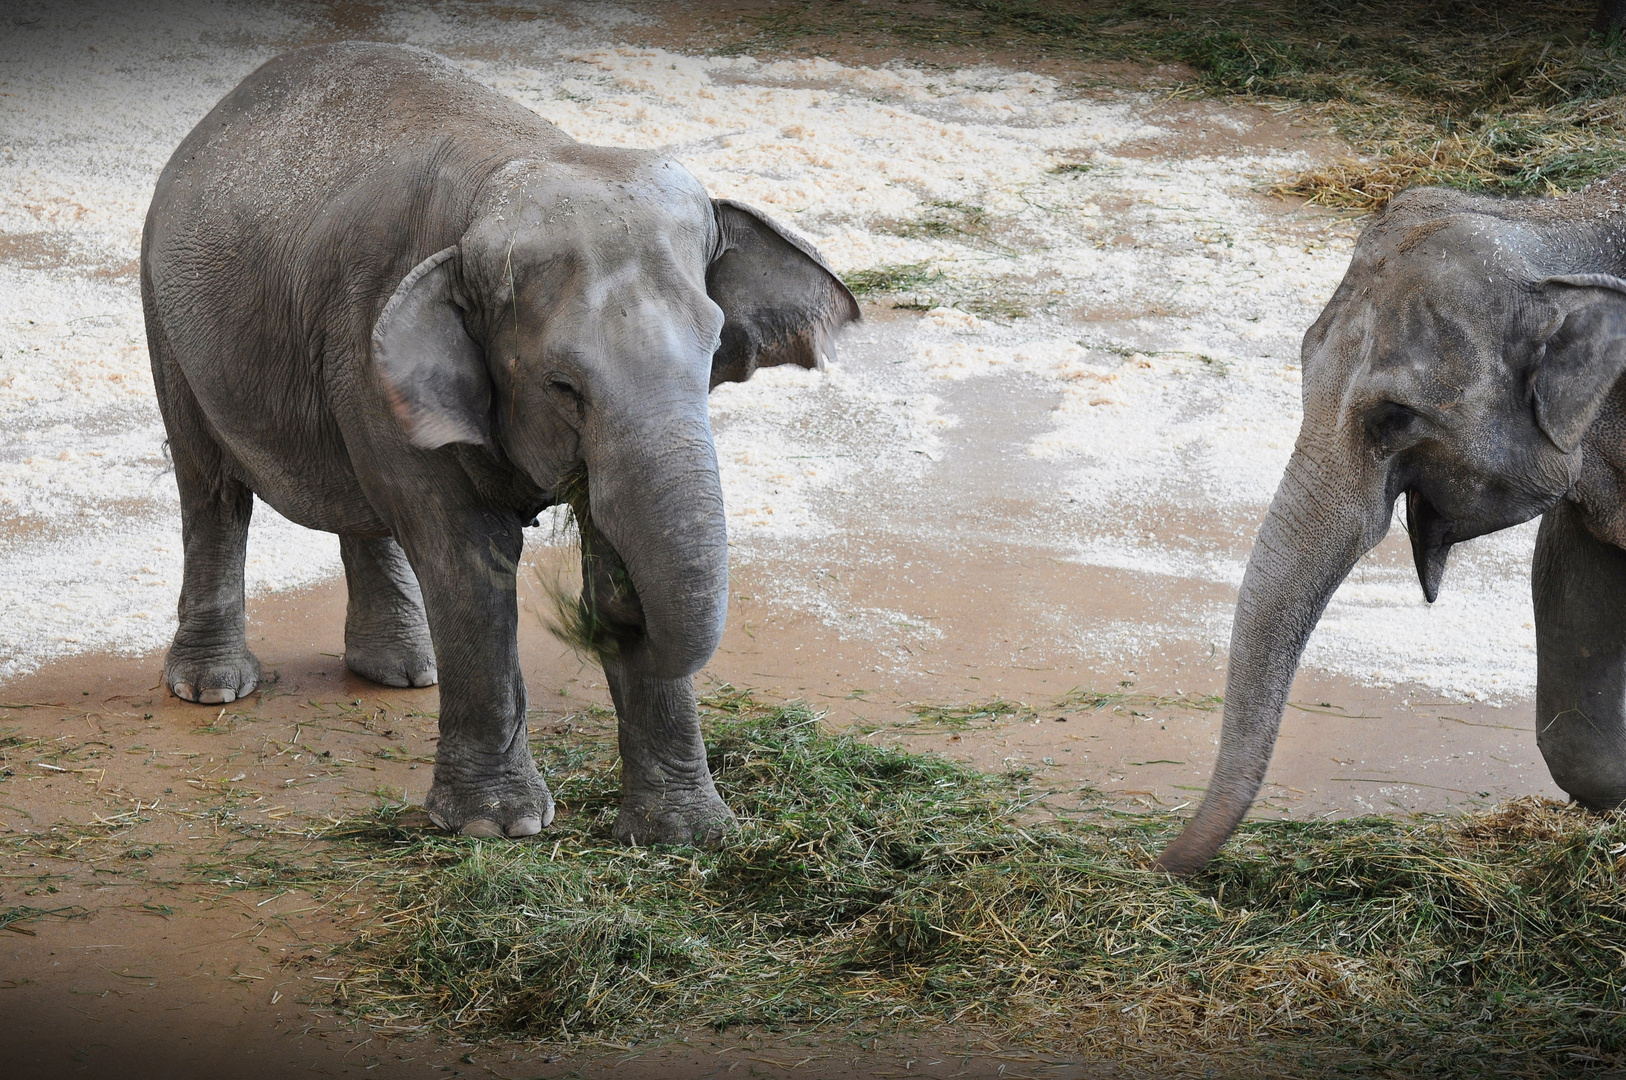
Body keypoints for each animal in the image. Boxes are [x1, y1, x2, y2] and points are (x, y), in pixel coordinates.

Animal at [141, 44, 858, 845]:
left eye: (709, 363)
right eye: (564, 387)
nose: (611, 623)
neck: (522, 161)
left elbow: (606, 536)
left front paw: (689, 835)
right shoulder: (374, 347)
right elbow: (467, 559)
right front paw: (497, 826)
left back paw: (404, 670)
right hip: (167, 319)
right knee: (211, 487)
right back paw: (213, 687)